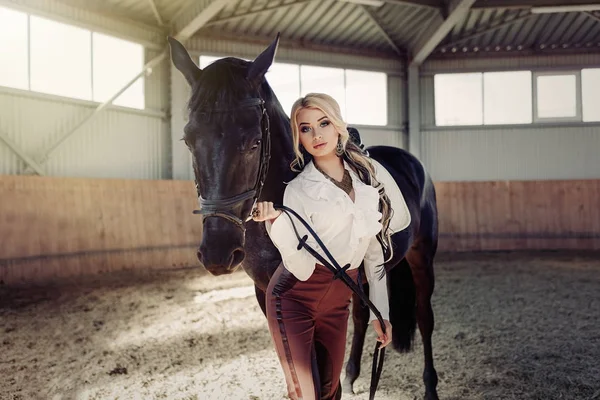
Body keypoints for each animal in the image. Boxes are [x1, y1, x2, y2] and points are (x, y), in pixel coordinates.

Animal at [169, 34, 440, 400]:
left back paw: (430, 386)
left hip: (422, 258)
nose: (217, 252)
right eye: (188, 139)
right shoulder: (266, 293)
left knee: (424, 317)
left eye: (254, 142)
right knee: (360, 316)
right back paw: (352, 375)